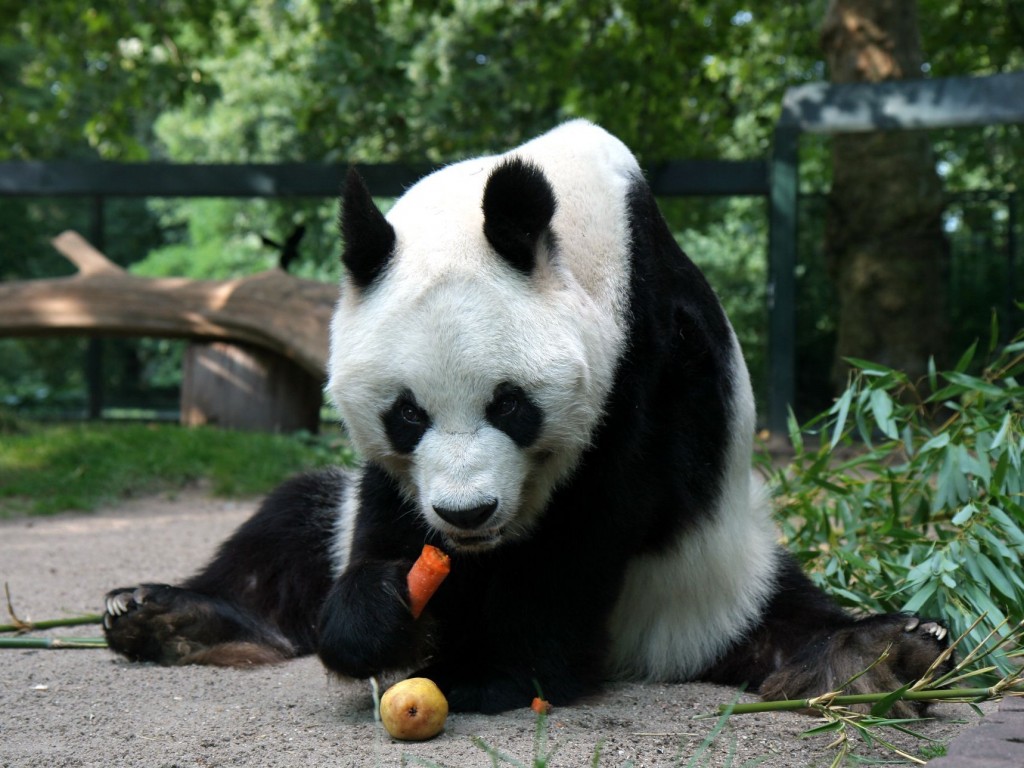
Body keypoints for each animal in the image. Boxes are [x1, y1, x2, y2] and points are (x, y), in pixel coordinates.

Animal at [99, 120, 946, 716]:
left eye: (509, 405)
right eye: (407, 415)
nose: (467, 513)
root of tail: (653, 655)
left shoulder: (644, 359)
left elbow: (587, 526)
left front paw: (492, 675)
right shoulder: (394, 481)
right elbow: (384, 517)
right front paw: (382, 620)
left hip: (717, 572)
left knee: (781, 621)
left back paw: (878, 653)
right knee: (287, 531)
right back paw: (161, 615)